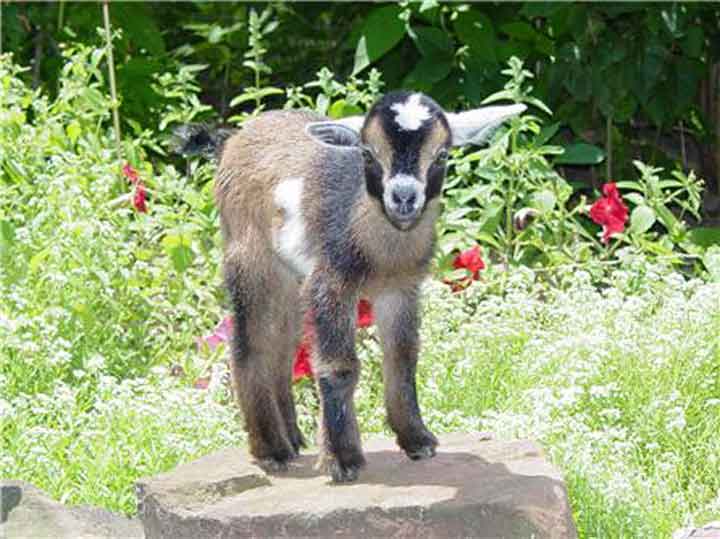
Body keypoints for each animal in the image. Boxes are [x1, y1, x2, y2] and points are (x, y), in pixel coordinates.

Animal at [180, 92, 524, 480]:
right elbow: (339, 367)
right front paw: (342, 459)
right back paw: (271, 449)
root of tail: (234, 139)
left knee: (282, 344)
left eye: (442, 155)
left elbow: (403, 357)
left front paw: (416, 439)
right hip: (250, 255)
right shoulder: (332, 283)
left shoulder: (401, 289)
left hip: (291, 276)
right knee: (249, 339)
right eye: (368, 153)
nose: (403, 198)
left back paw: (293, 438)